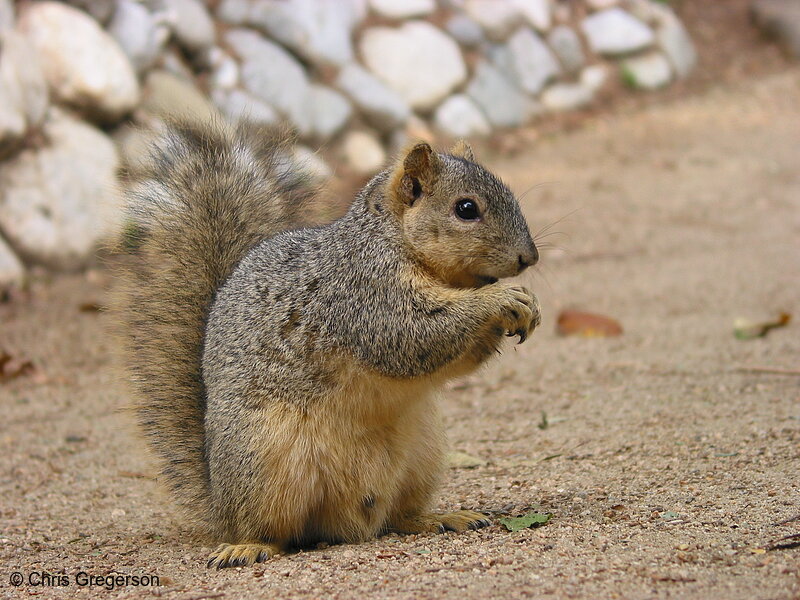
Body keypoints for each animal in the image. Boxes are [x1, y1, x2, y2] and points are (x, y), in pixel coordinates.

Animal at [117, 120, 544, 568]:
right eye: (466, 208)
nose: (529, 258)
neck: (391, 241)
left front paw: (525, 308)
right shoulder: (364, 298)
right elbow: (412, 335)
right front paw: (500, 299)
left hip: (422, 456)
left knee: (399, 516)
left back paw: (440, 518)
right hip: (262, 462)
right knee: (271, 529)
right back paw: (247, 546)